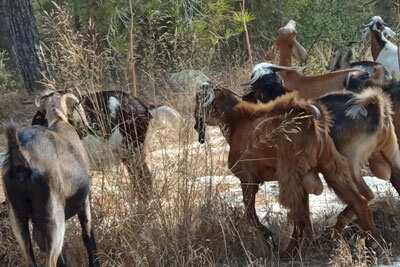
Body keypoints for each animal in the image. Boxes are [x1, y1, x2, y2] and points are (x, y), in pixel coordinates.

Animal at [2, 92, 99, 267]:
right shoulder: (85, 200)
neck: (58, 119)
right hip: (54, 219)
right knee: (50, 260)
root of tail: (21, 158)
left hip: (18, 221)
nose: (88, 127)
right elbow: (87, 234)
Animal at [194, 84, 382, 255]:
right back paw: (372, 243)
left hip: (289, 175)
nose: (196, 125)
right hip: (331, 169)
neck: (237, 121)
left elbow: (250, 214)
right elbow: (305, 215)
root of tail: (311, 118)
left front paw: (268, 236)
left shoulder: (247, 179)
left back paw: (288, 252)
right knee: (359, 202)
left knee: (297, 215)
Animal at [245, 62, 400, 234]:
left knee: (366, 195)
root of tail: (375, 108)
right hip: (390, 154)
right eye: (262, 87)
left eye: (275, 83)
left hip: (349, 164)